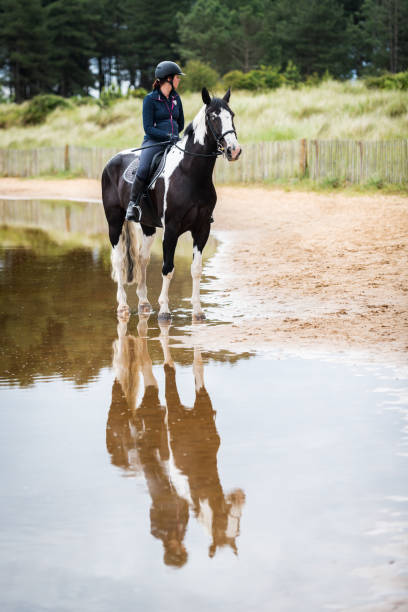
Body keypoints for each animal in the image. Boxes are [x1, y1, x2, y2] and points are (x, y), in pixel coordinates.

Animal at [101, 89, 241, 326]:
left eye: (231, 115)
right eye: (212, 116)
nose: (234, 150)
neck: (190, 173)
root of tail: (113, 160)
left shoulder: (202, 228)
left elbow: (196, 269)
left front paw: (198, 312)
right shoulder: (172, 229)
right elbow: (167, 268)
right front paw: (165, 311)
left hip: (147, 226)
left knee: (142, 259)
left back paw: (144, 303)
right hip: (114, 221)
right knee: (119, 260)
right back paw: (123, 307)